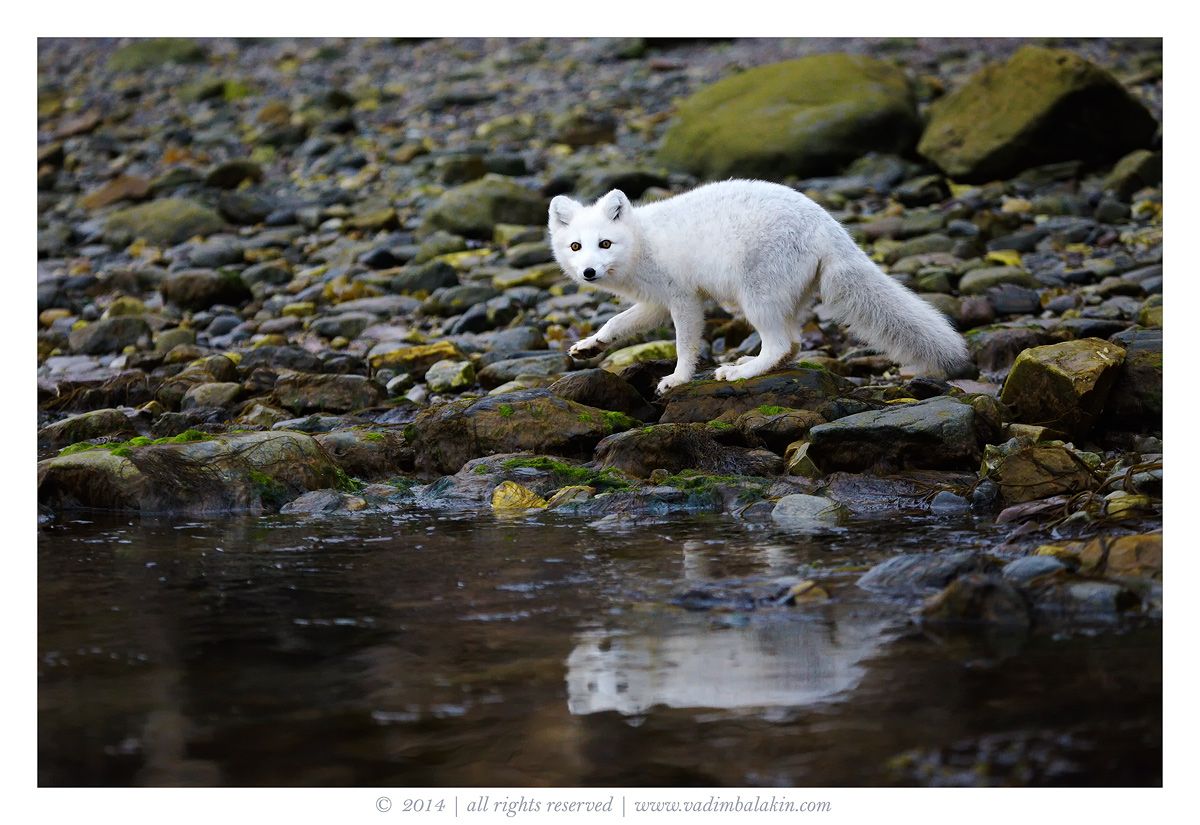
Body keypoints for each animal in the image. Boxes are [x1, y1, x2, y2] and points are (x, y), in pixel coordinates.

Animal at [549, 179, 969, 395]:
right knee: (794, 344)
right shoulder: (656, 302)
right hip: (787, 298)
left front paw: (677, 379)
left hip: (755, 296)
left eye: (605, 243)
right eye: (576, 247)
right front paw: (590, 346)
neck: (641, 241)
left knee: (782, 344)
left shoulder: (684, 299)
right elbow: (616, 323)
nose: (588, 272)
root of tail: (828, 224)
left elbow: (685, 345)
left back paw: (740, 373)